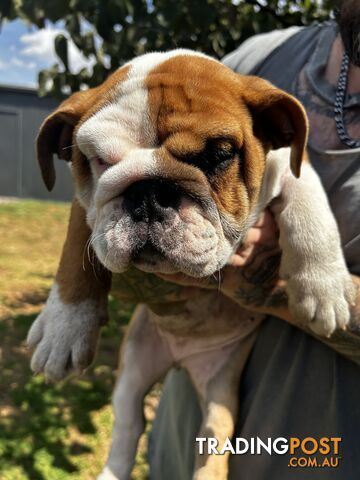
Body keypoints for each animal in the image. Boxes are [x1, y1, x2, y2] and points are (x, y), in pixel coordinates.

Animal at [27, 49, 354, 480]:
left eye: (218, 154)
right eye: (97, 160)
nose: (148, 193)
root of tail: (181, 360)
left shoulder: (290, 164)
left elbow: (311, 209)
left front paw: (324, 287)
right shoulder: (89, 205)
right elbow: (75, 250)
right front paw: (64, 328)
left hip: (220, 388)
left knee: (211, 440)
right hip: (135, 363)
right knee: (129, 422)